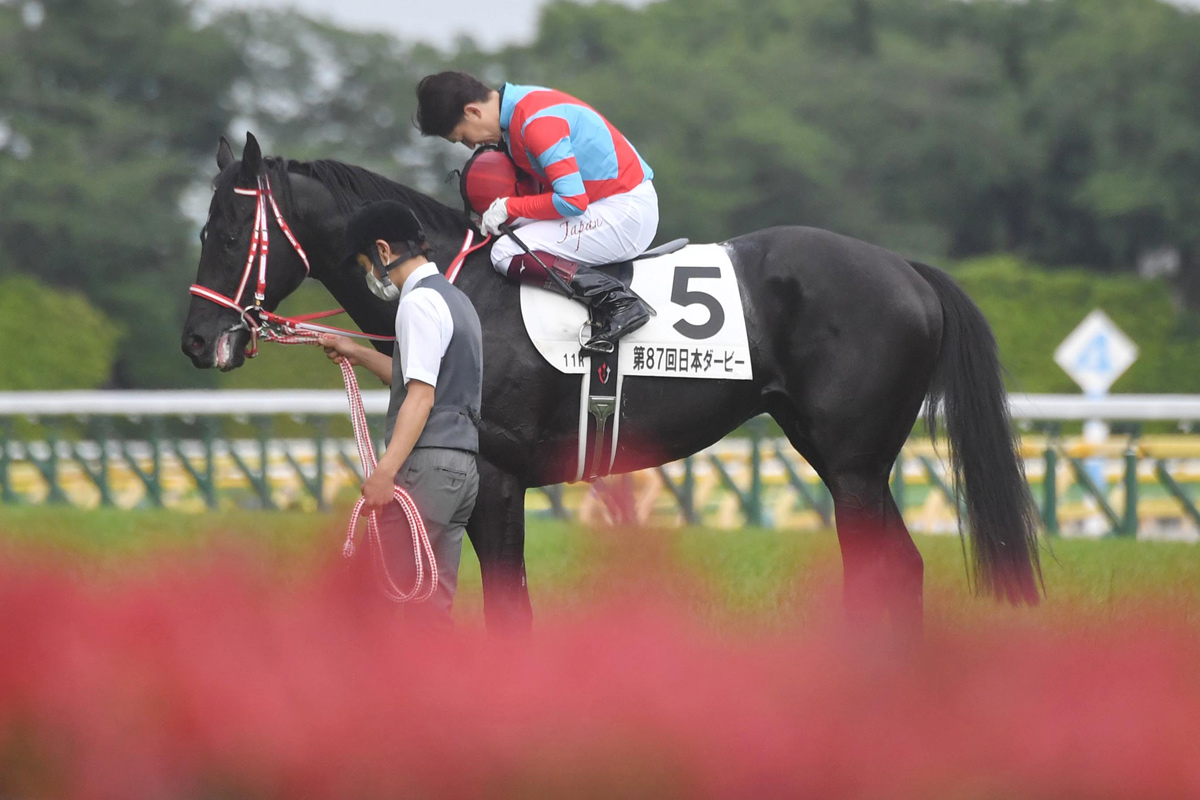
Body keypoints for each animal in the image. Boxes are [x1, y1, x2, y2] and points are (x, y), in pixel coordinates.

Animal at [182, 133, 1042, 634]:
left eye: (226, 232)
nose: (197, 340)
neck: (462, 284)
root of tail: (908, 270)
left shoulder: (497, 480)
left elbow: (508, 605)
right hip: (841, 459)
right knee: (901, 568)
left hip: (853, 464)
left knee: (880, 569)